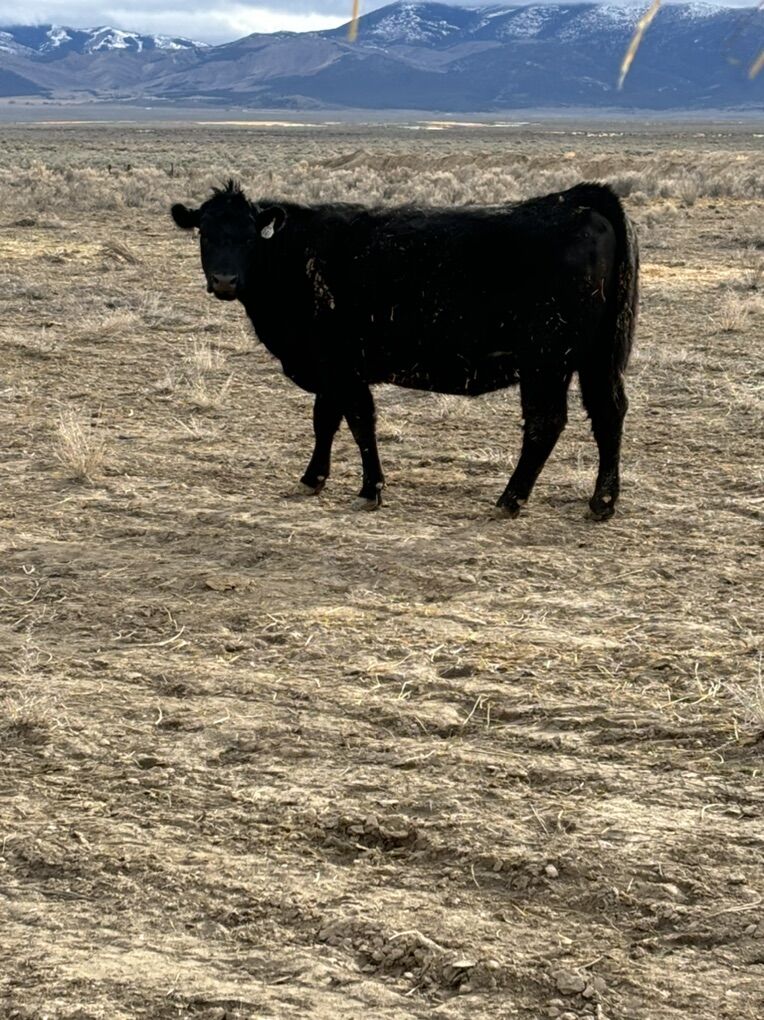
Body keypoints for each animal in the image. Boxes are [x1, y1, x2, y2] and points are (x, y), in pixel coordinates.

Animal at [171, 179, 638, 519]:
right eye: (205, 234)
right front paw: (314, 479)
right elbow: (326, 420)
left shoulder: (341, 365)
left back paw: (511, 499)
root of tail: (577, 199)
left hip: (546, 360)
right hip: (597, 357)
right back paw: (602, 503)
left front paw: (369, 489)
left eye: (250, 237)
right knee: (608, 413)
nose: (225, 280)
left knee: (546, 423)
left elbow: (359, 422)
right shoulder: (332, 369)